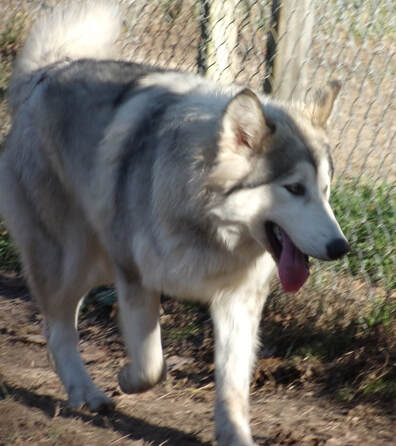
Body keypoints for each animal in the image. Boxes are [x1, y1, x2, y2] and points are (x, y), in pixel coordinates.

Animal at [0, 1, 350, 444]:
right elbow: (152, 365)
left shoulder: (239, 302)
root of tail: (48, 71)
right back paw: (85, 392)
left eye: (324, 189)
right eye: (294, 188)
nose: (340, 248)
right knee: (57, 327)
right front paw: (127, 378)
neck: (206, 222)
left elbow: (233, 388)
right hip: (73, 260)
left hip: (95, 265)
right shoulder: (135, 280)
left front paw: (235, 435)